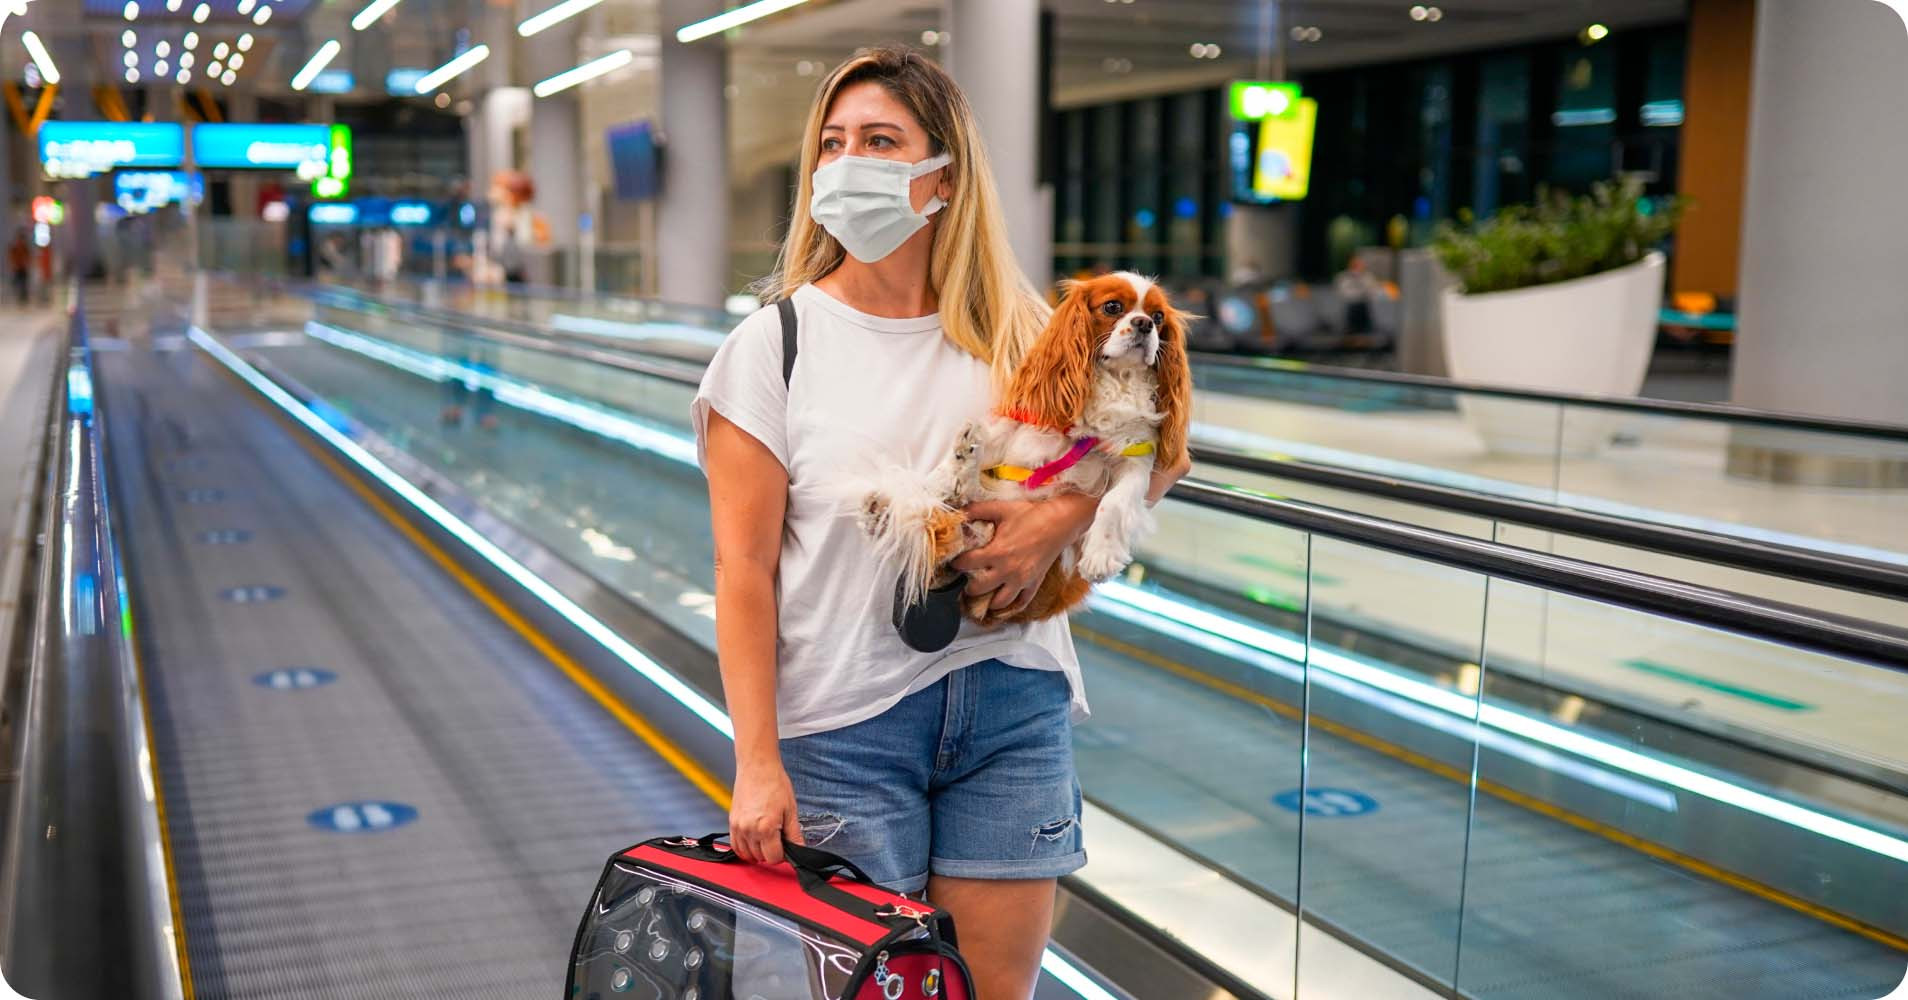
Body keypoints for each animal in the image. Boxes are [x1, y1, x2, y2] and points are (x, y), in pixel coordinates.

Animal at [854, 269, 1182, 622]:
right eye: (1112, 307)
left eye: (1159, 317)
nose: (1144, 324)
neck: (1114, 380)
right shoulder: (1019, 426)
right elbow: (953, 463)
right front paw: (930, 482)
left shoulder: (1136, 457)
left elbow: (1116, 500)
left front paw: (1101, 554)